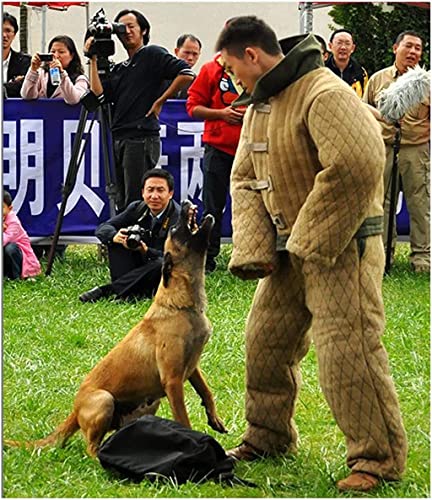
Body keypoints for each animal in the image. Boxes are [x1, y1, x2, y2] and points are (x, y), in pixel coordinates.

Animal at [5, 200, 228, 458]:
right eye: (174, 229)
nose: (184, 202)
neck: (182, 304)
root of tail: (75, 410)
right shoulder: (172, 380)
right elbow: (183, 419)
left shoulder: (192, 367)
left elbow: (206, 391)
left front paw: (214, 418)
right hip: (104, 400)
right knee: (91, 447)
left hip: (148, 403)